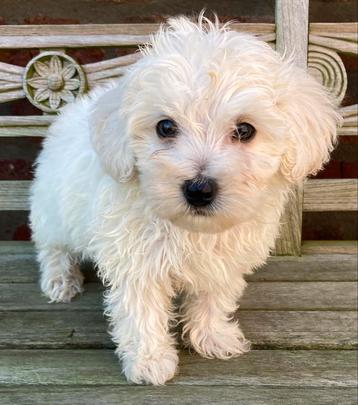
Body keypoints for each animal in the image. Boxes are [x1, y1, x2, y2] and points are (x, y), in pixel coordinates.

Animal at [29, 14, 340, 384]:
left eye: (244, 130)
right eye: (165, 127)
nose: (199, 189)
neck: (192, 229)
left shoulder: (222, 262)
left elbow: (213, 298)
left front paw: (212, 336)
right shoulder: (138, 261)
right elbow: (142, 311)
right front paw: (150, 361)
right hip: (53, 208)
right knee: (52, 246)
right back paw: (60, 280)